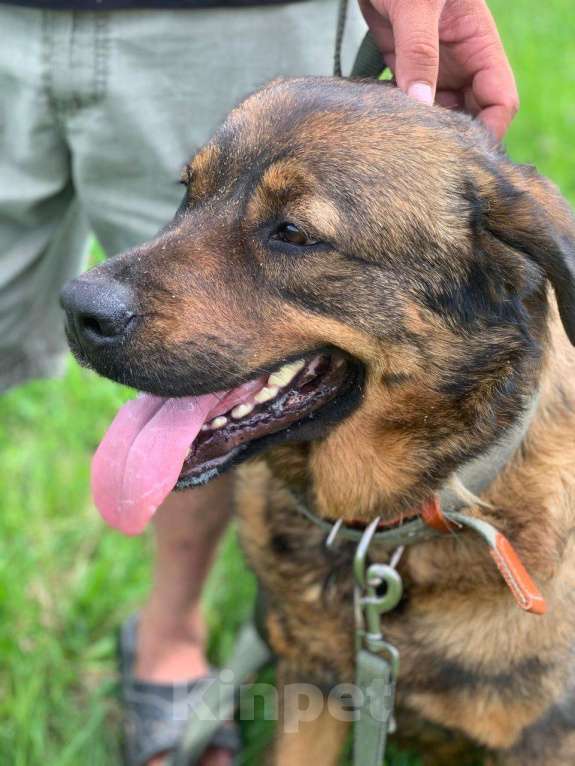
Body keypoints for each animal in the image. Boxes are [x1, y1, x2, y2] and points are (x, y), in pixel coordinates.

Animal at [60, 79, 575, 766]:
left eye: (294, 233)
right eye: (187, 193)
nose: (76, 308)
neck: (388, 531)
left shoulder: (545, 735)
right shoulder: (314, 691)